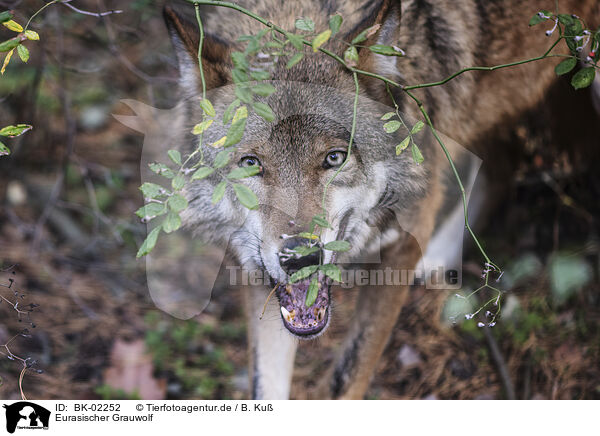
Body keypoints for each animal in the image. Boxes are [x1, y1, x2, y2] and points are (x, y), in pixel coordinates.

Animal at [154, 0, 596, 398]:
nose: (300, 258)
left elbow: (346, 379)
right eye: (250, 163)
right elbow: (267, 387)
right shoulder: (257, 272)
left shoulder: (401, 246)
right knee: (504, 166)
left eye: (335, 158)